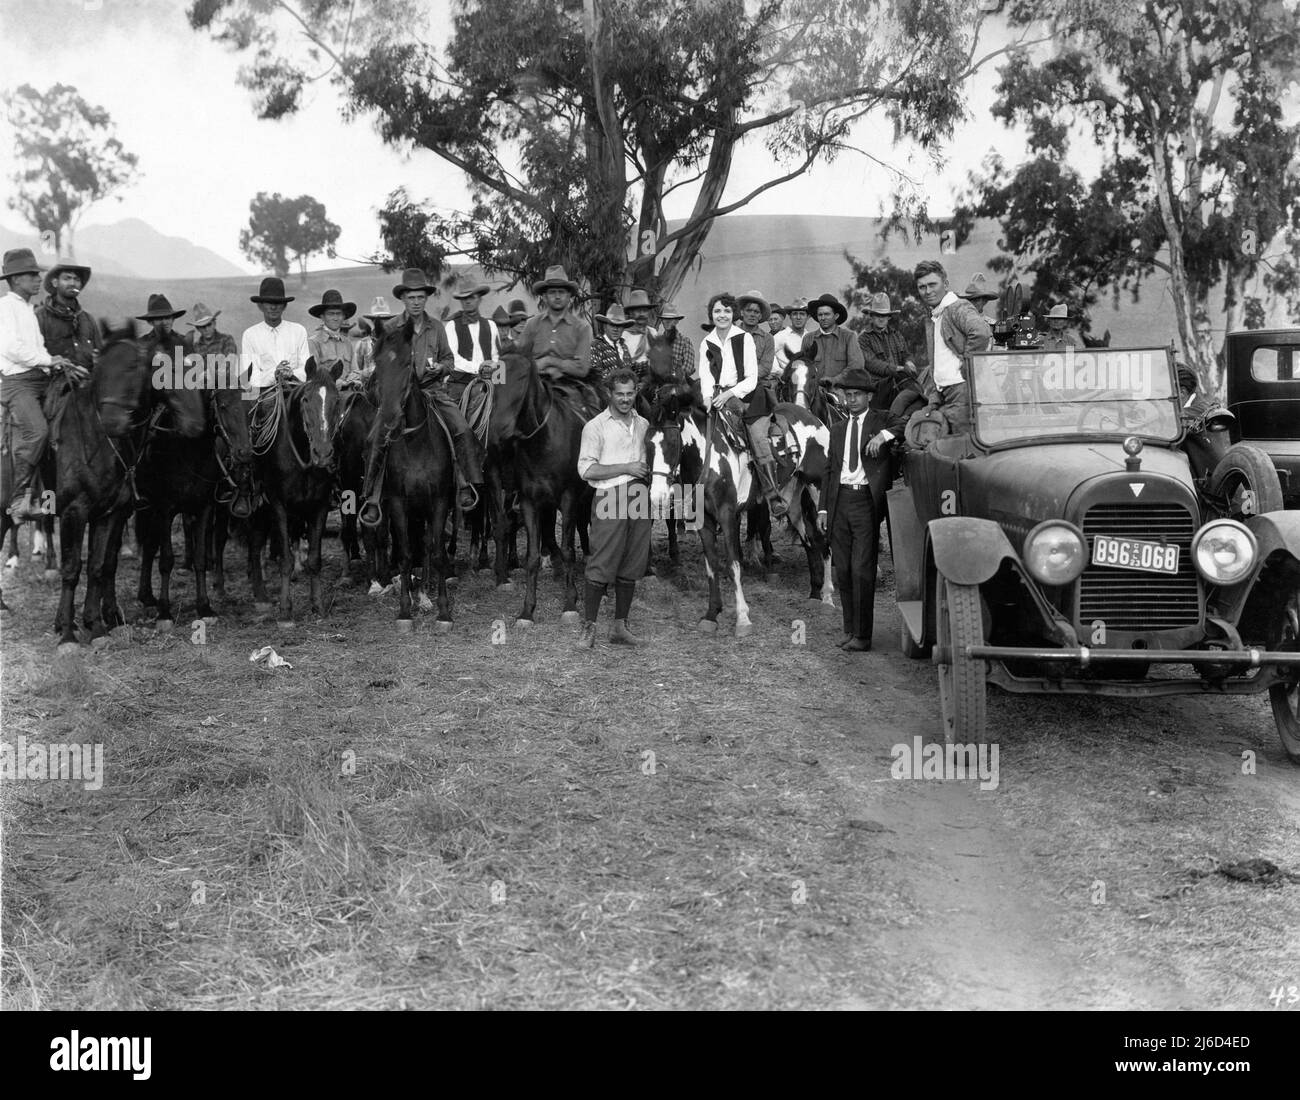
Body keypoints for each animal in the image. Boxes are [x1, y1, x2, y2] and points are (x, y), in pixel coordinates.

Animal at [51, 322, 204, 650]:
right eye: (164, 369)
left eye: (136, 369)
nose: (196, 424)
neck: (96, 440)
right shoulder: (73, 511)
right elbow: (71, 569)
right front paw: (68, 635)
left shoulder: (109, 513)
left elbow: (98, 566)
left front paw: (97, 625)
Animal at [135, 356, 254, 624]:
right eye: (223, 405)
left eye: (248, 405)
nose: (244, 453)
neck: (188, 451)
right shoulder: (165, 510)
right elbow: (166, 560)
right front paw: (165, 611)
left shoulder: (204, 508)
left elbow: (200, 558)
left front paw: (204, 607)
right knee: (148, 545)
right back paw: (147, 598)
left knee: (149, 545)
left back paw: (148, 596)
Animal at [245, 356, 343, 624]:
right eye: (306, 400)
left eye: (337, 400)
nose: (323, 453)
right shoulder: (278, 505)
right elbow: (285, 560)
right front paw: (285, 609)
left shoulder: (319, 505)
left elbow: (315, 559)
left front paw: (318, 605)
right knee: (256, 543)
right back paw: (260, 592)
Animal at [358, 321, 454, 629]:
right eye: (376, 363)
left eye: (406, 363)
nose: (389, 416)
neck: (416, 443)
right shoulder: (399, 503)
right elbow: (404, 554)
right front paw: (404, 610)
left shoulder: (439, 501)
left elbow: (436, 552)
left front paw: (443, 612)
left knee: (425, 544)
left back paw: (423, 595)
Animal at [647, 400, 832, 637]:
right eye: (647, 444)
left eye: (671, 443)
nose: (656, 496)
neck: (708, 457)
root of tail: (815, 420)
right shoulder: (704, 521)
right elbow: (712, 565)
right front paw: (711, 615)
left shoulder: (727, 516)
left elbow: (733, 564)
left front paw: (742, 619)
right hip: (792, 501)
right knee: (809, 539)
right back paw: (815, 594)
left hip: (819, 491)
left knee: (824, 538)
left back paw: (828, 598)